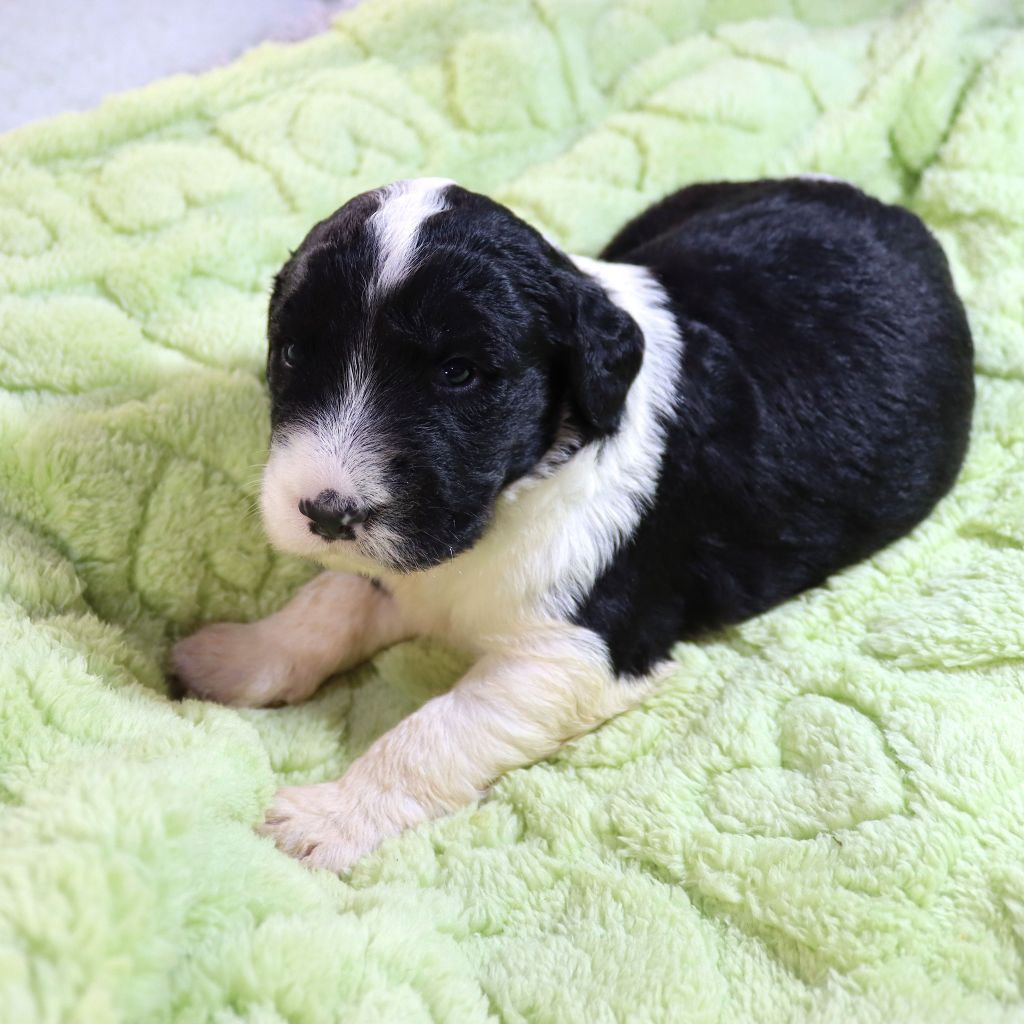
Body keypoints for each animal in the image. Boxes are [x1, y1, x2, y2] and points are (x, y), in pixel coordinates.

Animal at [171, 176, 974, 872]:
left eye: (458, 373)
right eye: (292, 353)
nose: (326, 511)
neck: (520, 489)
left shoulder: (573, 652)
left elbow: (435, 731)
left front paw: (328, 817)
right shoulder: (401, 561)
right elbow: (327, 605)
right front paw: (236, 656)